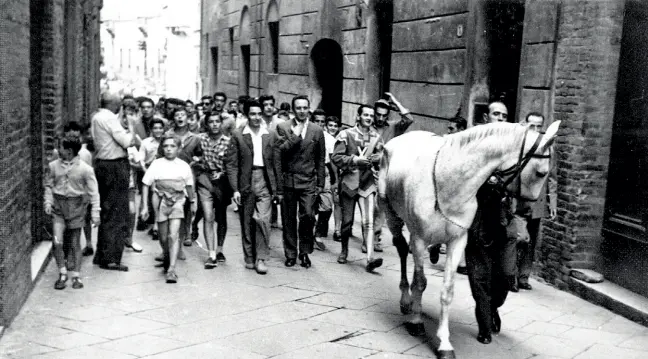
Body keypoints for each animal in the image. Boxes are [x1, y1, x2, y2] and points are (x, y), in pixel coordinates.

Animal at [378, 121, 560, 359]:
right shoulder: (419, 238)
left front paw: (444, 343)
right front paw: (416, 321)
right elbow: (420, 282)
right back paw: (406, 300)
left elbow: (448, 292)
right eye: (541, 173)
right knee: (401, 248)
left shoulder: (457, 241)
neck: (448, 180)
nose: (527, 213)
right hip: (391, 213)